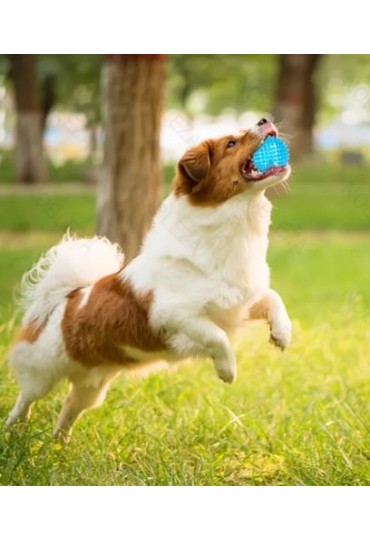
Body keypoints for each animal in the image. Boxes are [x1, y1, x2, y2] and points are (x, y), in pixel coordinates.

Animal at [6, 118, 292, 438]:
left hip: (91, 388)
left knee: (69, 409)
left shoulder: (238, 303)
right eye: (231, 143)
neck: (234, 225)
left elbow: (273, 298)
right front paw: (227, 370)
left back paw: (59, 443)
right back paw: (14, 431)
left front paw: (282, 334)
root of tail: (66, 298)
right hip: (41, 375)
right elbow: (216, 336)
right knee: (25, 400)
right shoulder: (174, 315)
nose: (264, 119)